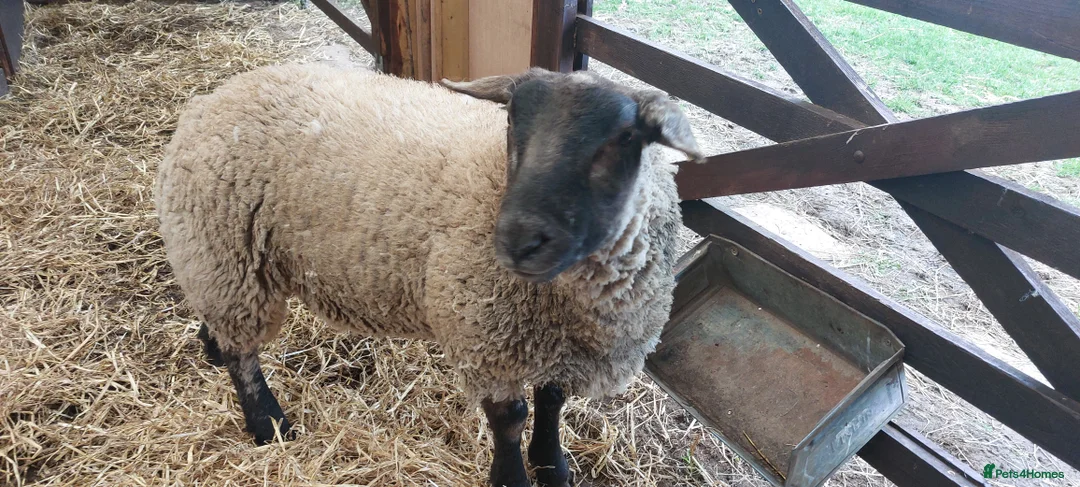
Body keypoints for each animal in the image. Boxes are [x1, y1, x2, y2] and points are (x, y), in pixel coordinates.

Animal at [154, 63, 703, 487]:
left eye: (625, 138)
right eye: (511, 121)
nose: (518, 239)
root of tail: (213, 97)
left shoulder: (557, 347)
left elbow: (552, 402)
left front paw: (552, 465)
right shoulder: (486, 339)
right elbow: (510, 421)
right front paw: (511, 477)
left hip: (218, 262)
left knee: (223, 331)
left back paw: (210, 347)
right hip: (222, 252)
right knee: (243, 354)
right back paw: (267, 422)